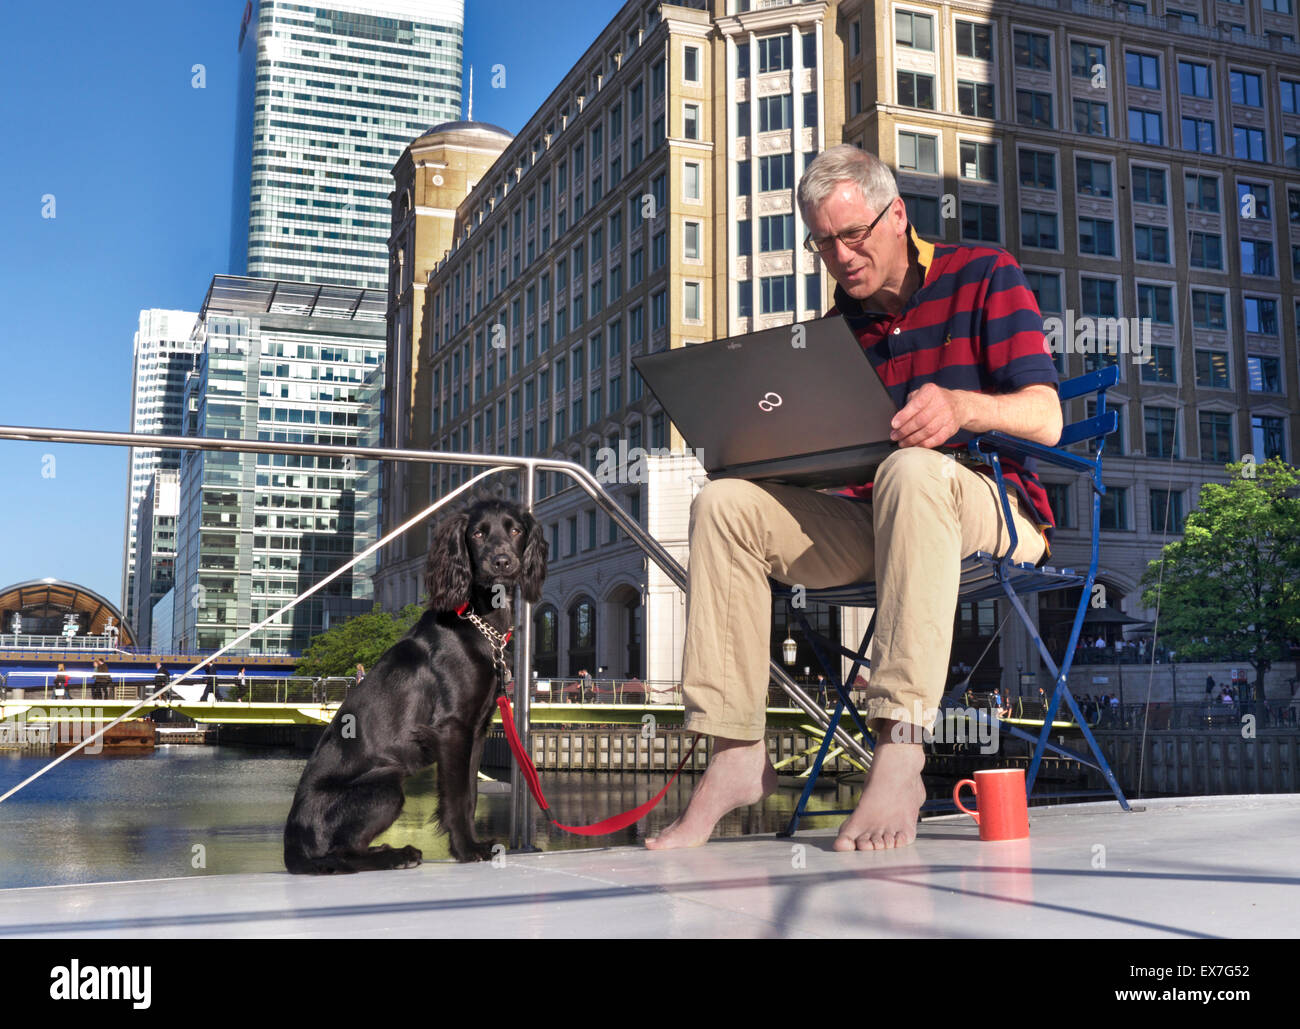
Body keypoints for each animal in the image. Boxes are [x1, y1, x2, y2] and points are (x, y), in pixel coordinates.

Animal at [282, 493, 546, 873]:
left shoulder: (477, 729)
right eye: (478, 533)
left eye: (515, 530)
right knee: (340, 853)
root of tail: (290, 845)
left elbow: (471, 794)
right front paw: (467, 849)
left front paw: (472, 845)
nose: (502, 562)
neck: (478, 620)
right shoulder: (452, 727)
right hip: (386, 786)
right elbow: (457, 796)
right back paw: (397, 855)